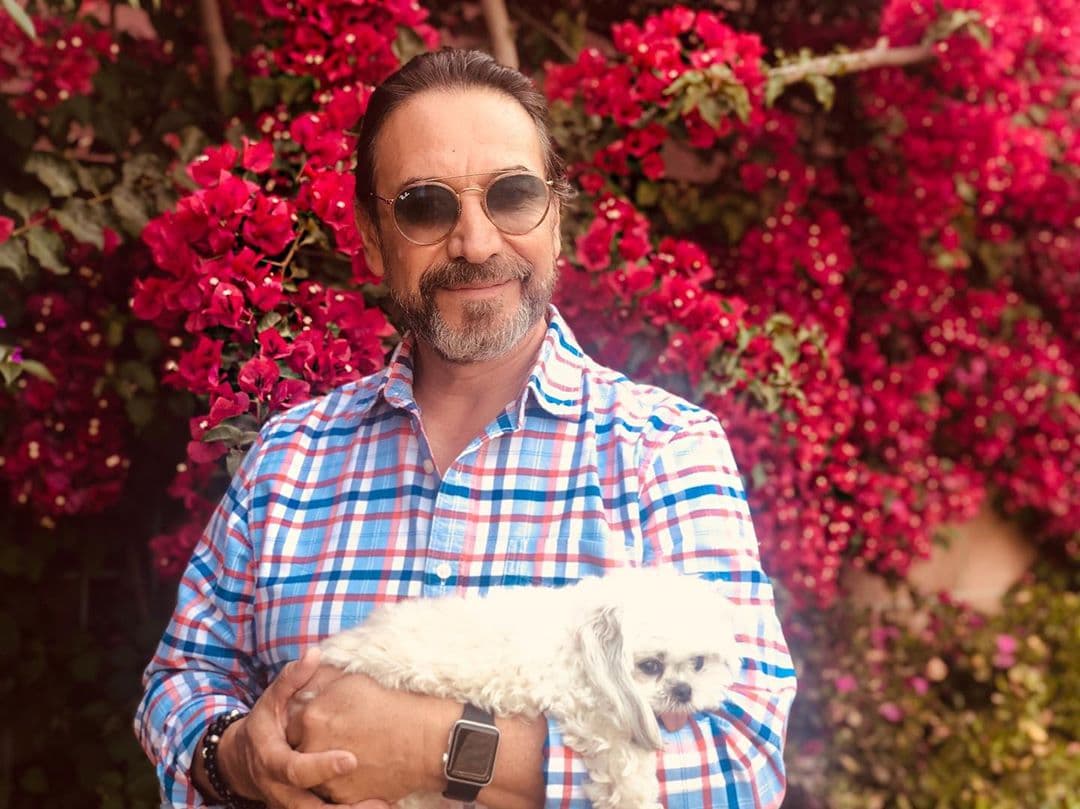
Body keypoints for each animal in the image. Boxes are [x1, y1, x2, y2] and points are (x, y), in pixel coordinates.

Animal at [317, 565, 743, 808]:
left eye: (699, 663)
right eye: (651, 666)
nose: (684, 691)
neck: (582, 638)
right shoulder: (592, 713)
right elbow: (626, 763)